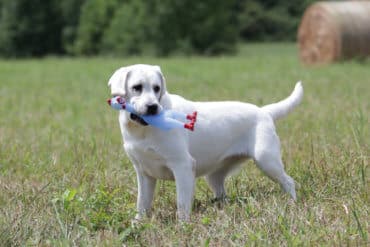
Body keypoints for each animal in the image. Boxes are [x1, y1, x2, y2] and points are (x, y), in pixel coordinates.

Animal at [107, 64, 304, 221]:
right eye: (137, 87)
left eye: (157, 88)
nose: (153, 107)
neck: (142, 130)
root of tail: (264, 111)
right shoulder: (144, 173)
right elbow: (142, 204)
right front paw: (138, 224)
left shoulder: (183, 166)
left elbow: (182, 204)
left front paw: (183, 227)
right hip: (215, 176)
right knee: (222, 194)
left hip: (267, 160)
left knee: (289, 182)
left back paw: (293, 204)